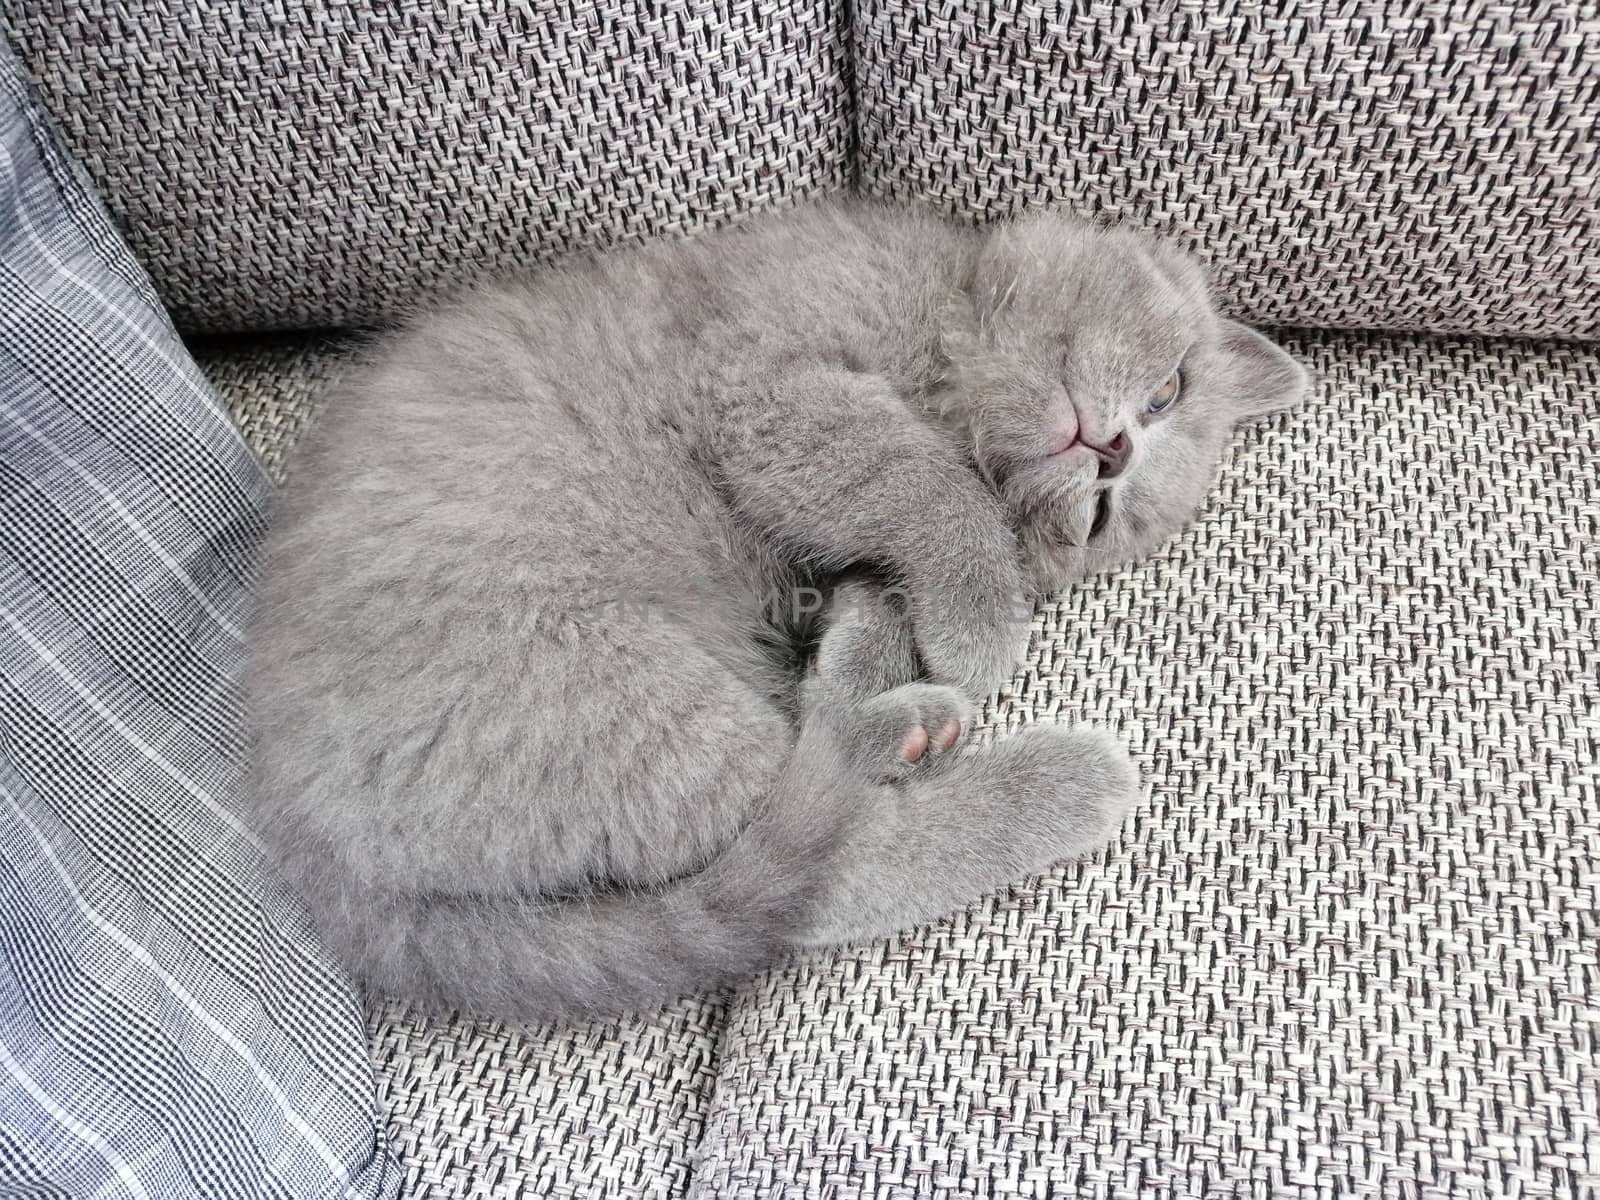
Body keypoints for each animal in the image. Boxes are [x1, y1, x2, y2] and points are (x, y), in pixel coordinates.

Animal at [246, 200, 1299, 1024]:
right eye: (1167, 390)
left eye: (1101, 518)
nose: (1114, 454)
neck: (948, 336)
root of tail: (303, 837)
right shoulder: (769, 389)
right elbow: (927, 484)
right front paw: (980, 629)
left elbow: (881, 582)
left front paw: (886, 647)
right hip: (593, 681)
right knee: (827, 854)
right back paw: (1023, 766)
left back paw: (900, 724)